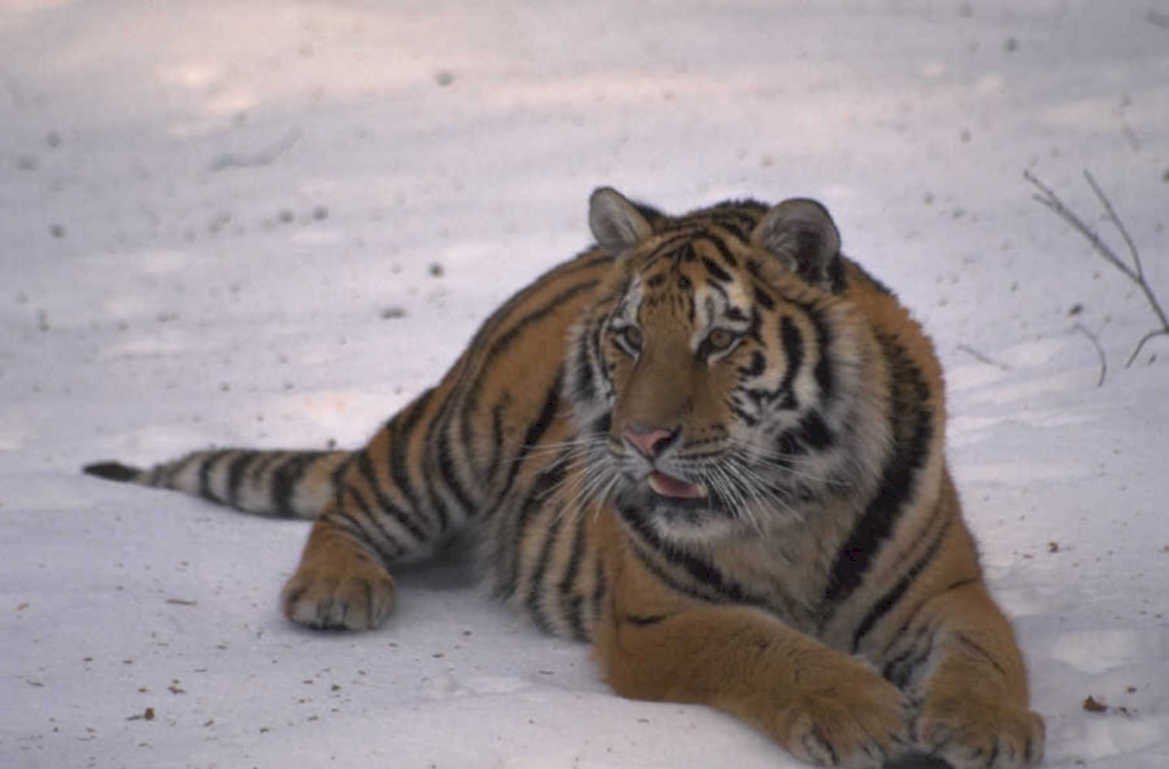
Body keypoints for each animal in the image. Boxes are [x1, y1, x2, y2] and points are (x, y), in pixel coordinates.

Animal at [85, 188, 1044, 769]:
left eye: (717, 339)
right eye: (630, 338)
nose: (643, 438)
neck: (790, 506)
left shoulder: (946, 590)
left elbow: (988, 655)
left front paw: (986, 727)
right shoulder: (660, 616)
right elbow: (766, 645)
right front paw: (858, 710)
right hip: (448, 444)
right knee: (350, 501)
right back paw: (335, 590)